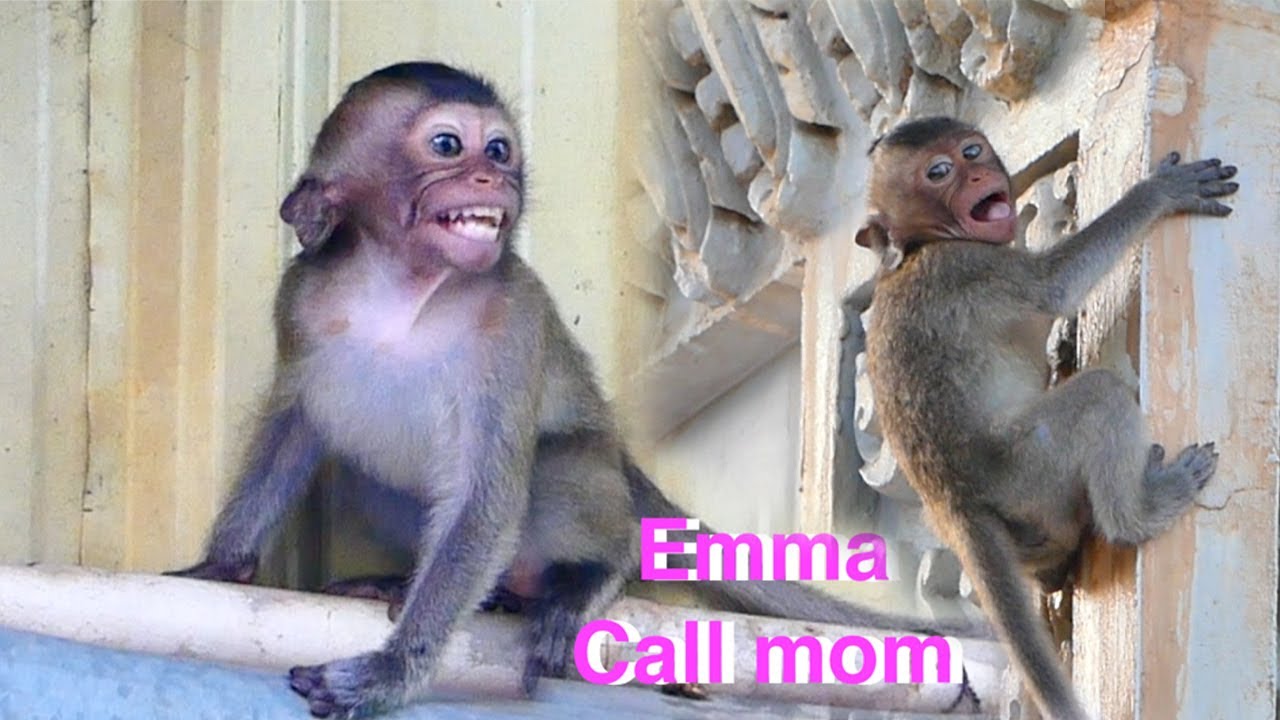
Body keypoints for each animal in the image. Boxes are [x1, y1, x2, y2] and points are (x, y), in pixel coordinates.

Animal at [168, 66, 990, 718]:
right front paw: (220, 565)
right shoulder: (300, 299)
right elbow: (295, 424)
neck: (400, 285)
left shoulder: (510, 317)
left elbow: (489, 493)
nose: (495, 178)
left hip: (597, 486)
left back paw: (578, 578)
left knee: (559, 462)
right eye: (448, 146)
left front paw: (392, 673)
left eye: (498, 149)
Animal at [854, 116, 1238, 720]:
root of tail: (954, 502)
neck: (923, 247)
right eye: (939, 172)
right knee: (1099, 396)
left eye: (971, 152)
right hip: (1028, 466)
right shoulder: (974, 267)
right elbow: (1053, 286)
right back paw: (1142, 511)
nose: (978, 174)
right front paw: (1155, 194)